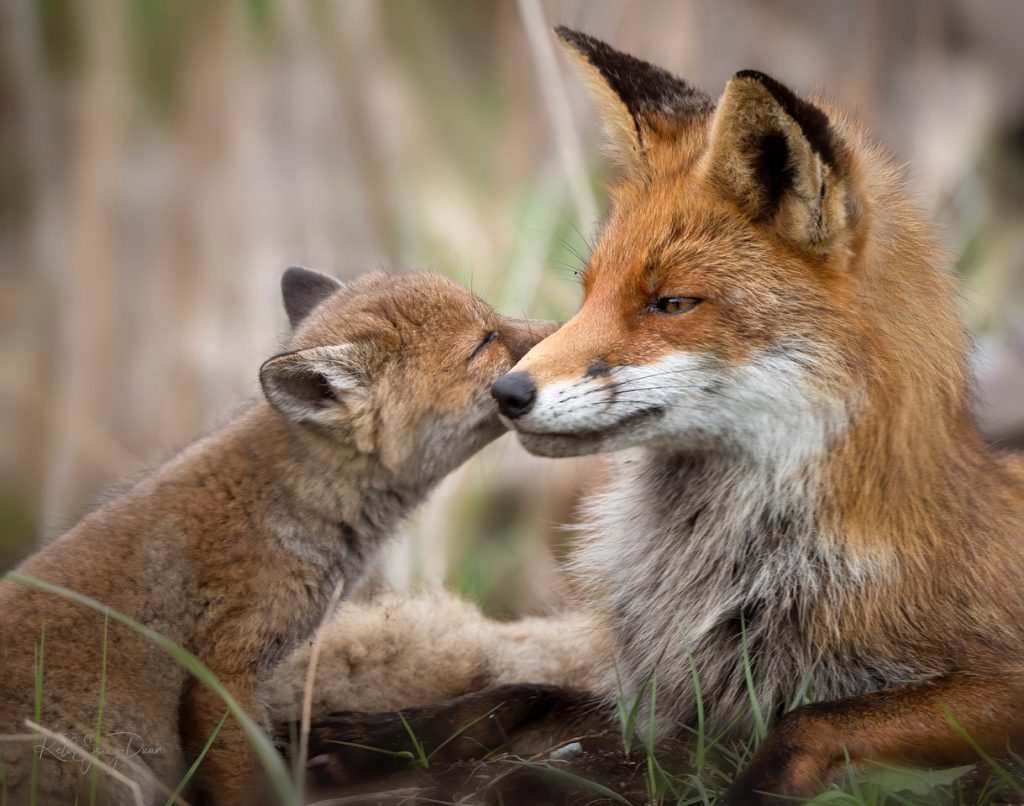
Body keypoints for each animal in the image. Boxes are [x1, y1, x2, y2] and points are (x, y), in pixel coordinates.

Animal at [299, 26, 1024, 806]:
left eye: (672, 304)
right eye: (588, 290)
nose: (507, 393)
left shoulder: (994, 685)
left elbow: (810, 721)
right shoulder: (679, 708)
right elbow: (519, 693)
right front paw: (377, 736)